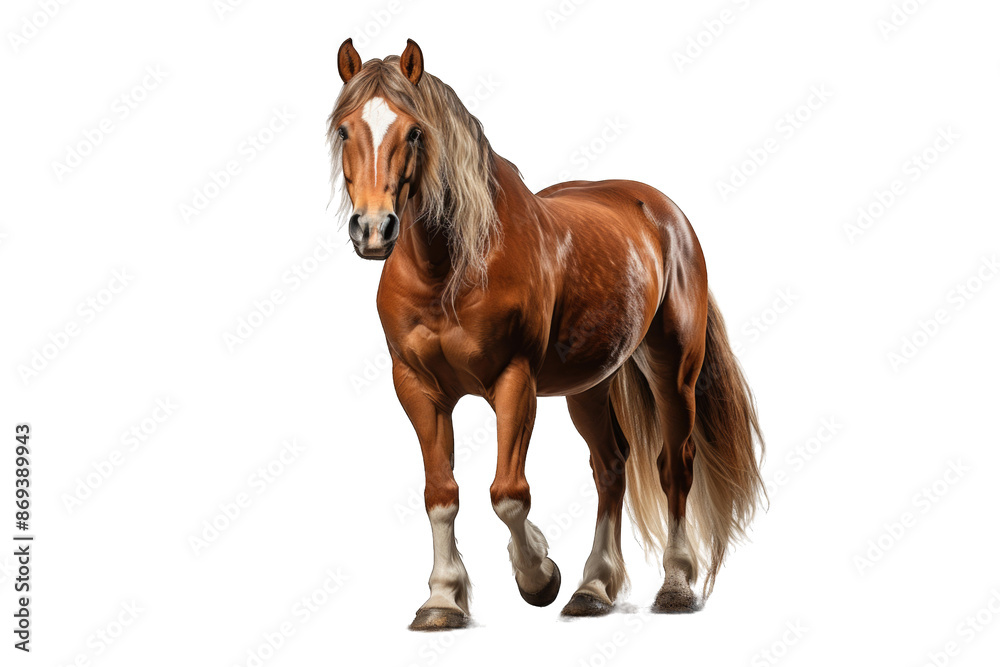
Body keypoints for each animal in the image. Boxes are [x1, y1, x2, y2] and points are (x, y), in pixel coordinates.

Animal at [329, 38, 765, 630]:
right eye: (344, 130)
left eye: (415, 132)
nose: (373, 229)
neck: (450, 268)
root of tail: (665, 215)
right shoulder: (417, 386)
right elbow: (440, 493)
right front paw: (442, 599)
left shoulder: (515, 380)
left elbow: (508, 493)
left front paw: (538, 575)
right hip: (590, 385)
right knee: (611, 467)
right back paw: (593, 588)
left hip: (674, 370)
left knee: (674, 465)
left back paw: (674, 585)